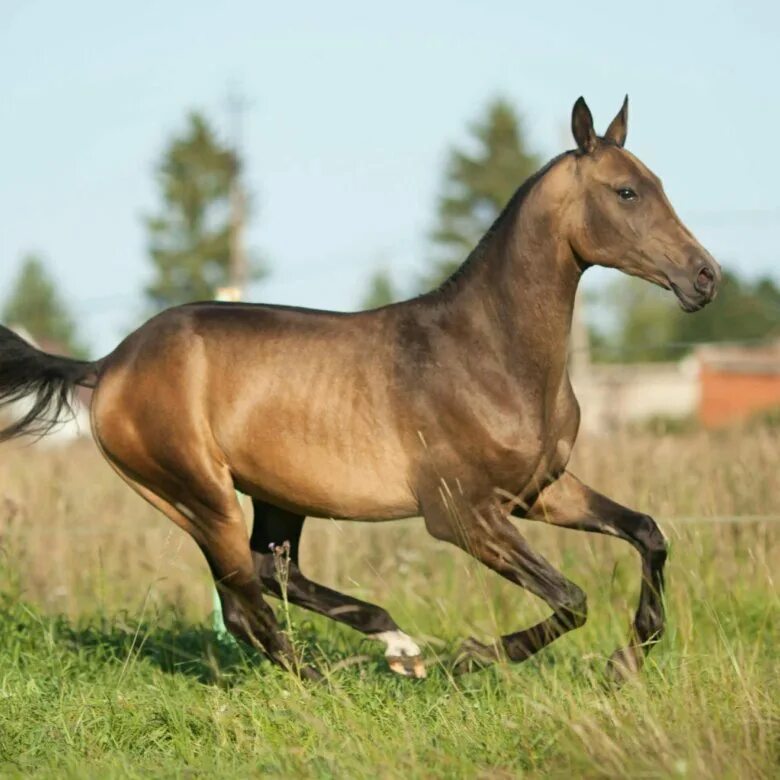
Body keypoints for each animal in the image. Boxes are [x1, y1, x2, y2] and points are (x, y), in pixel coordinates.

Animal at [0, 99, 720, 684]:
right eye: (627, 191)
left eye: (656, 184)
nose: (705, 277)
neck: (488, 352)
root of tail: (108, 364)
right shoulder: (460, 513)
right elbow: (570, 597)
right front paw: (474, 656)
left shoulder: (538, 491)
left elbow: (647, 533)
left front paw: (627, 661)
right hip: (199, 496)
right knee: (245, 606)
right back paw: (342, 675)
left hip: (276, 494)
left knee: (272, 573)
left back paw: (392, 646)